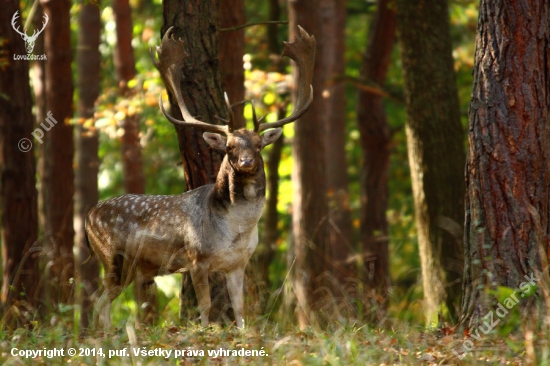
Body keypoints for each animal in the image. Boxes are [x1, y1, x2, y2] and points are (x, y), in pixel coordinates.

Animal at [87, 26, 320, 328]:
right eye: (229, 147)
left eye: (259, 145)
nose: (246, 162)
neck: (236, 231)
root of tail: (88, 216)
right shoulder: (196, 259)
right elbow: (205, 306)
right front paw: (205, 331)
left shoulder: (238, 263)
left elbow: (240, 308)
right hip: (112, 256)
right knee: (98, 299)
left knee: (102, 300)